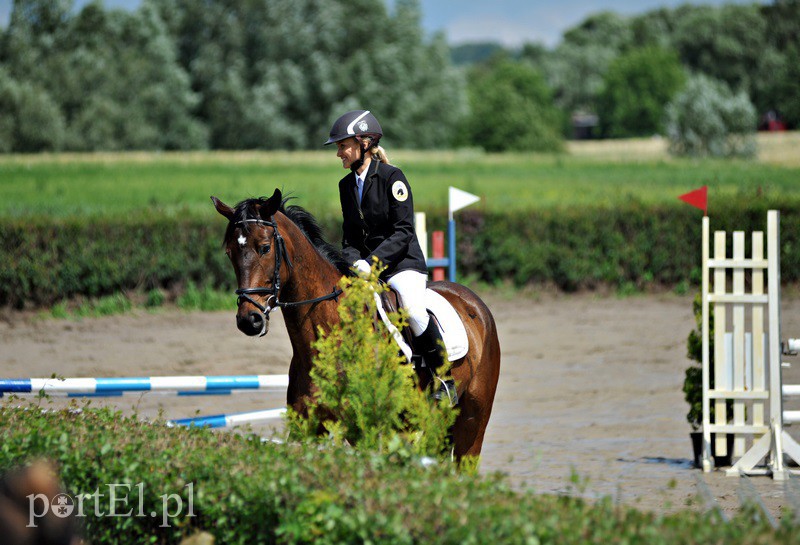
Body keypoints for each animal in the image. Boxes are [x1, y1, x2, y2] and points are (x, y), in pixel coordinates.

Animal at [212, 189, 500, 456]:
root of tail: (473, 301)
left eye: (264, 247)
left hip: (472, 421)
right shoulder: (306, 429)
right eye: (230, 252)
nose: (249, 320)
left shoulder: (368, 429)